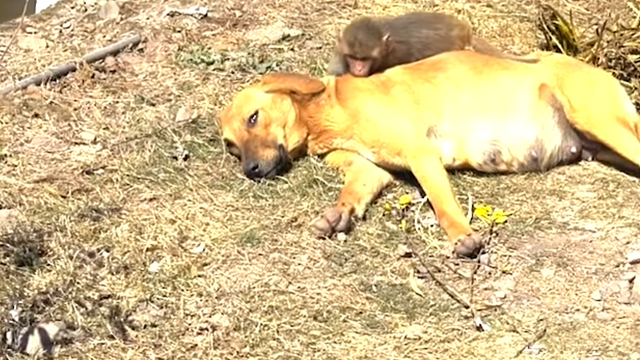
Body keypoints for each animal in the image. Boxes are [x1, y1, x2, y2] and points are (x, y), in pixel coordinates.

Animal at [219, 50, 640, 258]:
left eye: (254, 117)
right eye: (231, 146)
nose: (251, 170)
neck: (327, 111)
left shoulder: (420, 153)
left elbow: (441, 205)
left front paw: (461, 237)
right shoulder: (371, 169)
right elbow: (353, 189)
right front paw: (338, 214)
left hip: (601, 121)